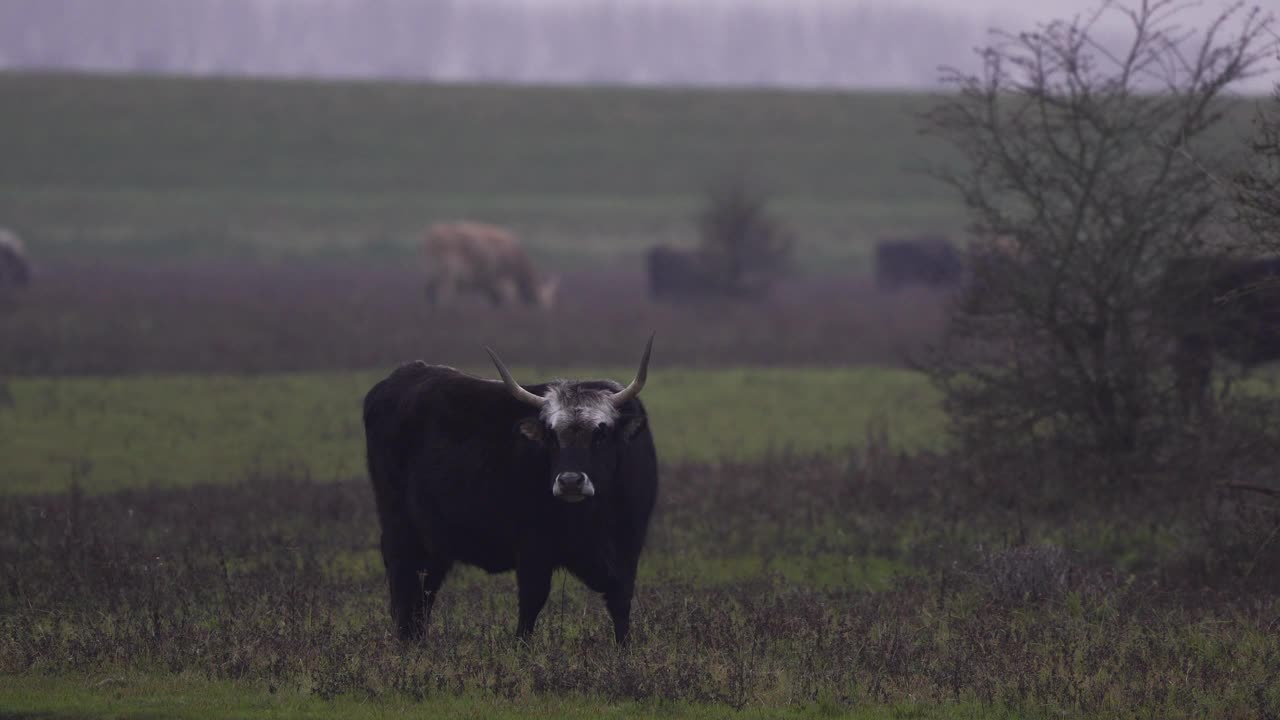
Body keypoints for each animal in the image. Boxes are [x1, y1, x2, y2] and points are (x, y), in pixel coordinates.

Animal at [363, 335, 655, 645]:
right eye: (551, 435)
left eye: (601, 433)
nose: (570, 481)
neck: (592, 517)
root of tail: (404, 374)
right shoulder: (532, 546)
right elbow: (532, 600)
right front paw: (521, 648)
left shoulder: (628, 548)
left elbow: (620, 601)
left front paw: (623, 649)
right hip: (400, 527)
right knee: (403, 580)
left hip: (434, 538)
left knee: (425, 587)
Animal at [422, 220, 558, 307]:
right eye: (541, 305)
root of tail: (431, 236)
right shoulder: (505, 284)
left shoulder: (490, 285)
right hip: (448, 275)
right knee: (444, 296)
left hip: (431, 274)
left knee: (429, 294)